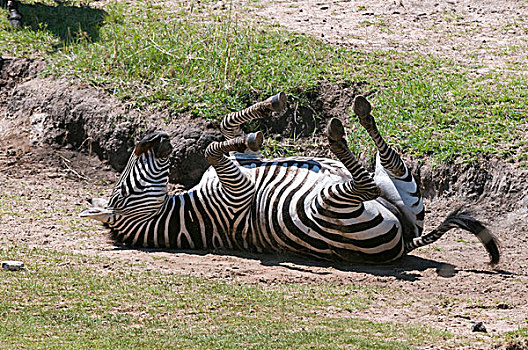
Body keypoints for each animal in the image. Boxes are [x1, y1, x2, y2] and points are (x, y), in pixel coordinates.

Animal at [80, 93, 502, 266]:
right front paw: (253, 130)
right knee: (363, 183)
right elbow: (213, 148)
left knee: (390, 159)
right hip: (329, 207)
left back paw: (359, 115)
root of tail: (405, 239)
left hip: (400, 192)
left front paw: (265, 113)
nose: (152, 138)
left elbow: (223, 131)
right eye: (123, 188)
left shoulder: (240, 167)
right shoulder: (238, 193)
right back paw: (337, 137)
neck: (184, 210)